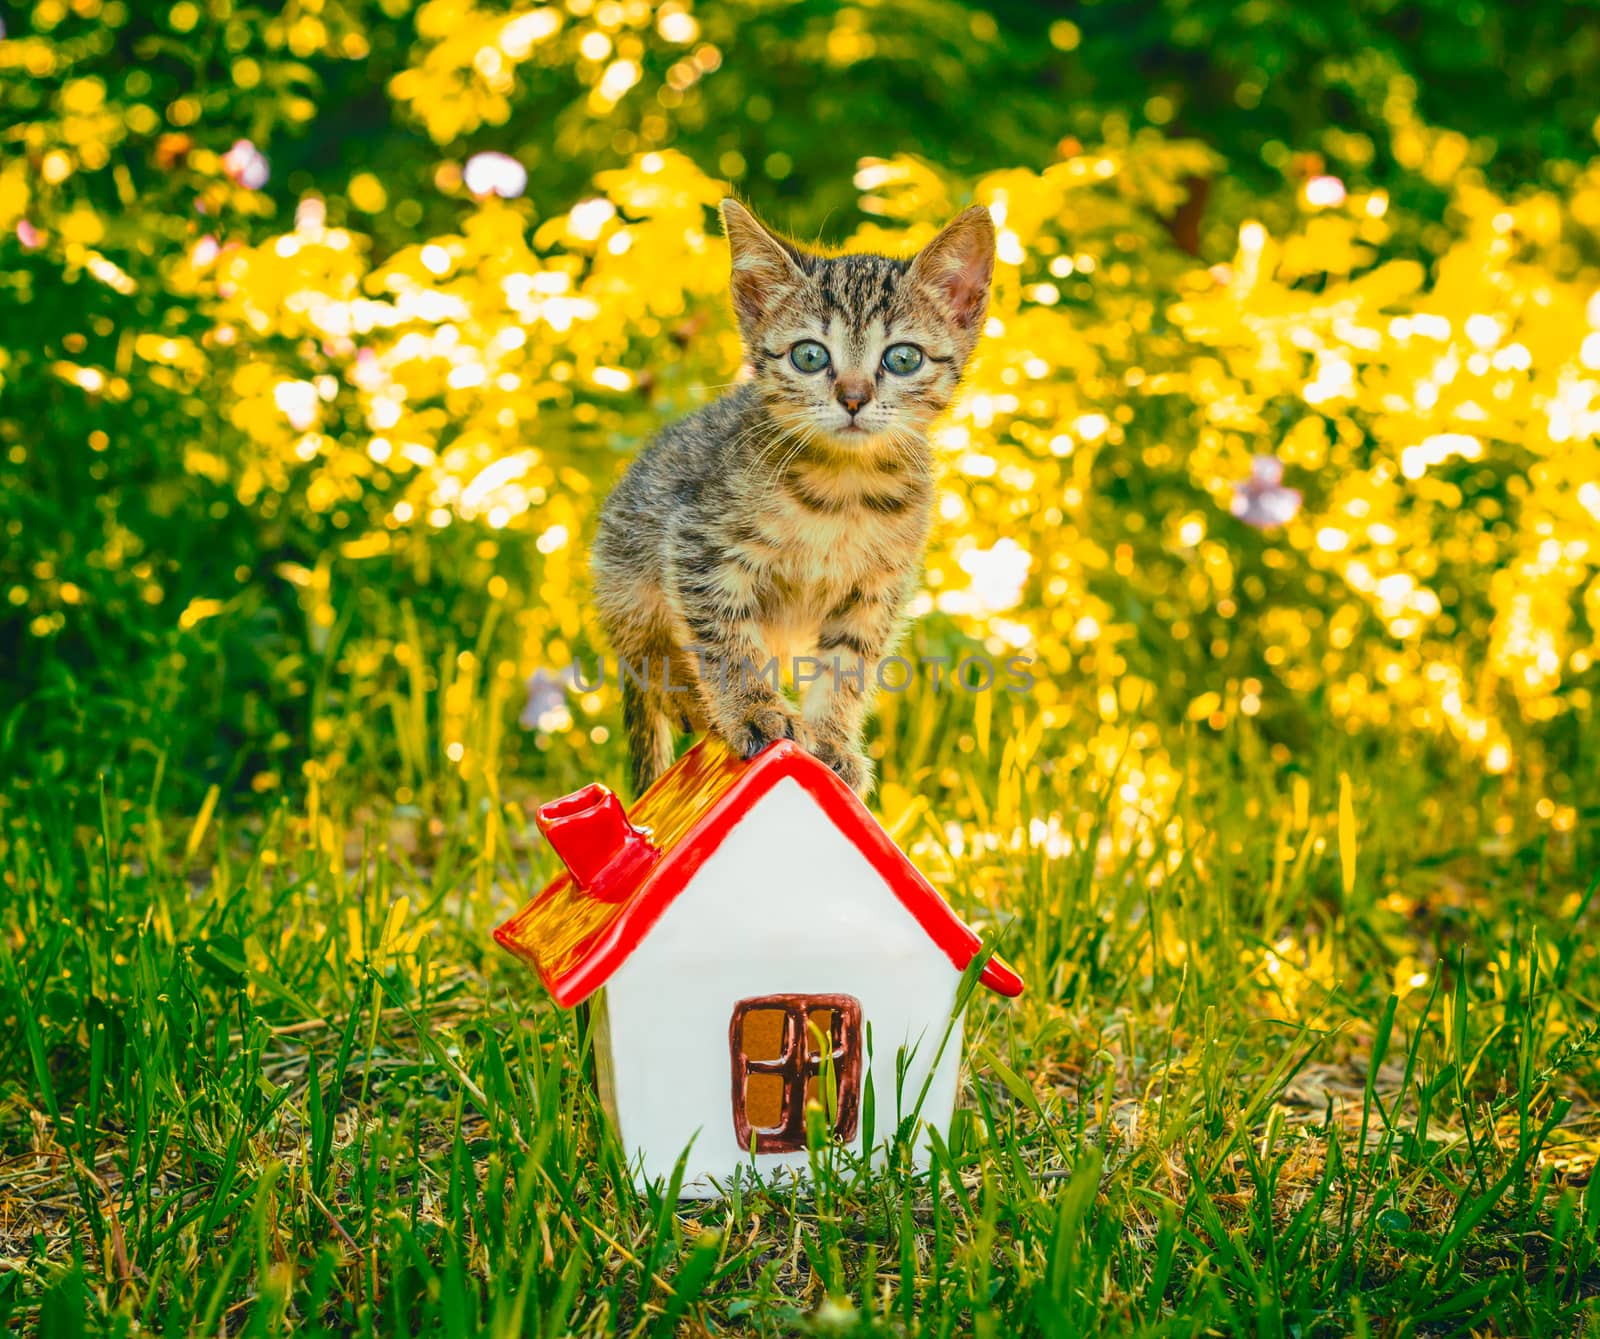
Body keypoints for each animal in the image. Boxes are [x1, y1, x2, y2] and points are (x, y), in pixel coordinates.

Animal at [592, 198, 985, 793]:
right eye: (809, 357)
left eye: (902, 359)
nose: (853, 398)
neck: (845, 490)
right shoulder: (698, 543)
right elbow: (726, 638)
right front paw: (754, 711)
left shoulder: (878, 589)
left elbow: (849, 665)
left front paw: (832, 740)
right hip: (625, 564)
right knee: (643, 652)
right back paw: (687, 694)